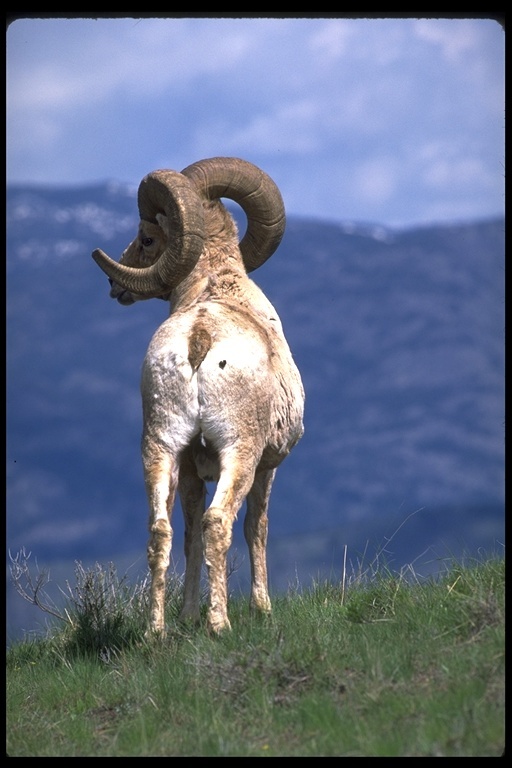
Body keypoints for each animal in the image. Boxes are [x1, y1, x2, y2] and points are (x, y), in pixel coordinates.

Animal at [92, 158, 304, 636]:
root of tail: (199, 337)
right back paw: (219, 624)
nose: (115, 285)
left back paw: (157, 632)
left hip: (160, 445)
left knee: (162, 531)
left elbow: (188, 531)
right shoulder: (266, 467)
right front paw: (262, 609)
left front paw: (187, 614)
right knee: (219, 523)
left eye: (147, 238)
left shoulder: (190, 467)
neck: (213, 287)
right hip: (238, 452)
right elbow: (256, 527)